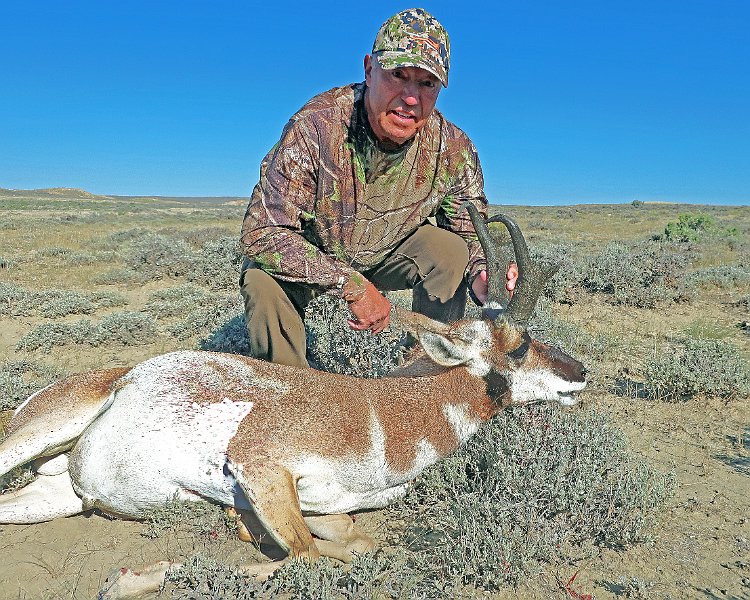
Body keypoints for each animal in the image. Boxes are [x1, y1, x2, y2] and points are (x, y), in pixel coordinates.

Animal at [0, 207, 586, 599]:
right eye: (519, 346)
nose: (580, 373)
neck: (376, 411)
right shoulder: (259, 468)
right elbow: (304, 556)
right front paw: (130, 579)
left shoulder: (325, 503)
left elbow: (354, 544)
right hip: (30, 439)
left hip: (59, 495)